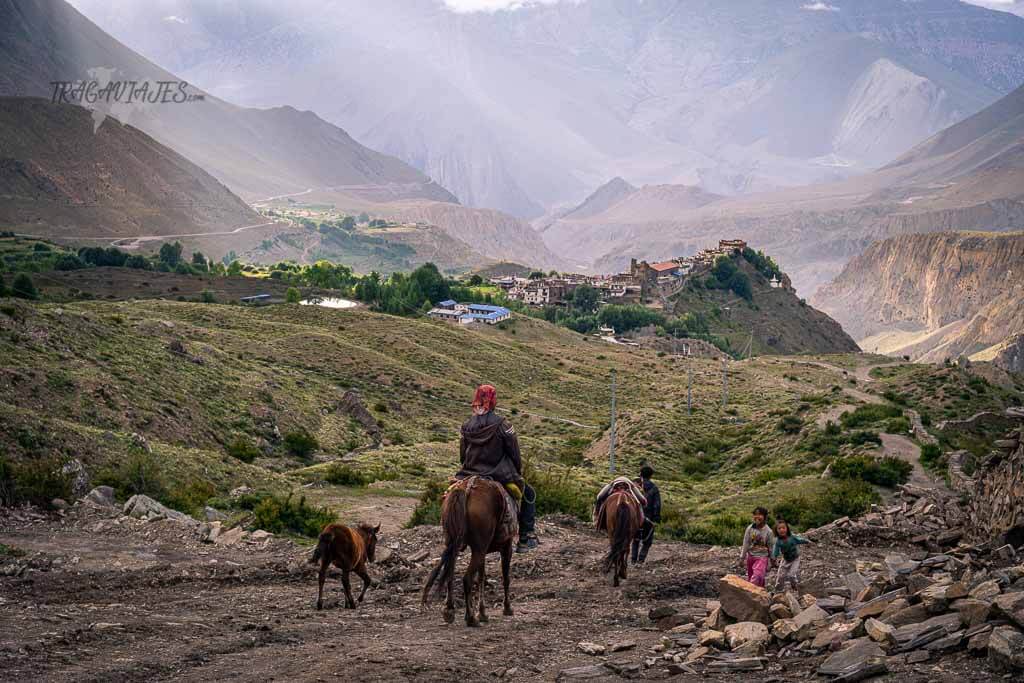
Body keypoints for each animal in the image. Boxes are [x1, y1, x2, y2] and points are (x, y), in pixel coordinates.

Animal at [421, 479, 516, 626]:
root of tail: (466, 490)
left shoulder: (483, 551)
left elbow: (481, 578)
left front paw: (482, 613)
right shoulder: (506, 545)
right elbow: (506, 577)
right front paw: (507, 608)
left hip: (454, 543)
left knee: (450, 573)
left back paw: (449, 609)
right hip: (478, 549)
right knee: (466, 578)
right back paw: (470, 618)